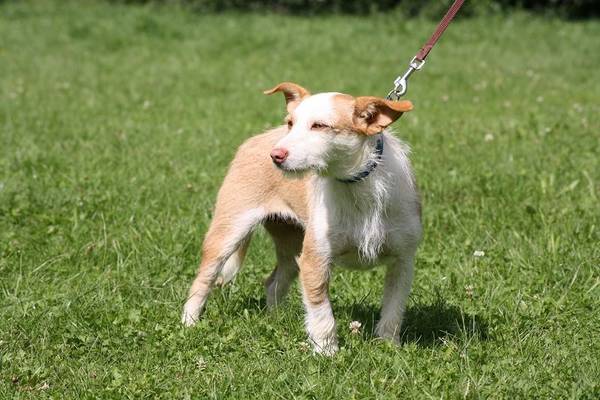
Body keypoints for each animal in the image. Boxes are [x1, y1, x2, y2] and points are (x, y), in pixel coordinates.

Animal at [182, 82, 422, 355]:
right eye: (290, 123)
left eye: (319, 125)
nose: (275, 155)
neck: (358, 186)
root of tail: (257, 139)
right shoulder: (314, 259)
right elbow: (321, 310)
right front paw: (327, 352)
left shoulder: (403, 262)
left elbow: (394, 308)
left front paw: (389, 346)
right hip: (228, 231)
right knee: (203, 280)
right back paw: (189, 322)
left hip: (291, 243)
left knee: (274, 282)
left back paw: (276, 319)